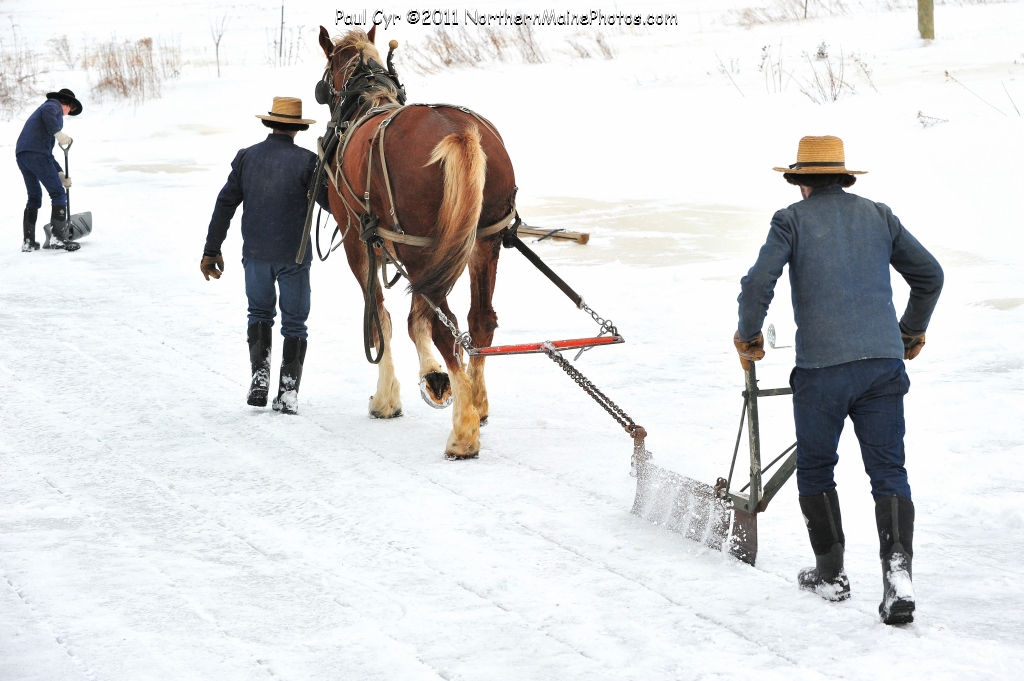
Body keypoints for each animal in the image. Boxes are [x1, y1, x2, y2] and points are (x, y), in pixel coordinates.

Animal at [315, 26, 516, 458]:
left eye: (327, 75)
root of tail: (459, 133)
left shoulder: (358, 241)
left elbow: (380, 318)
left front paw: (387, 398)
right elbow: (413, 318)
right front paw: (435, 377)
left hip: (418, 247)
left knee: (446, 327)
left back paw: (463, 434)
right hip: (481, 242)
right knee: (479, 321)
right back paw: (476, 403)